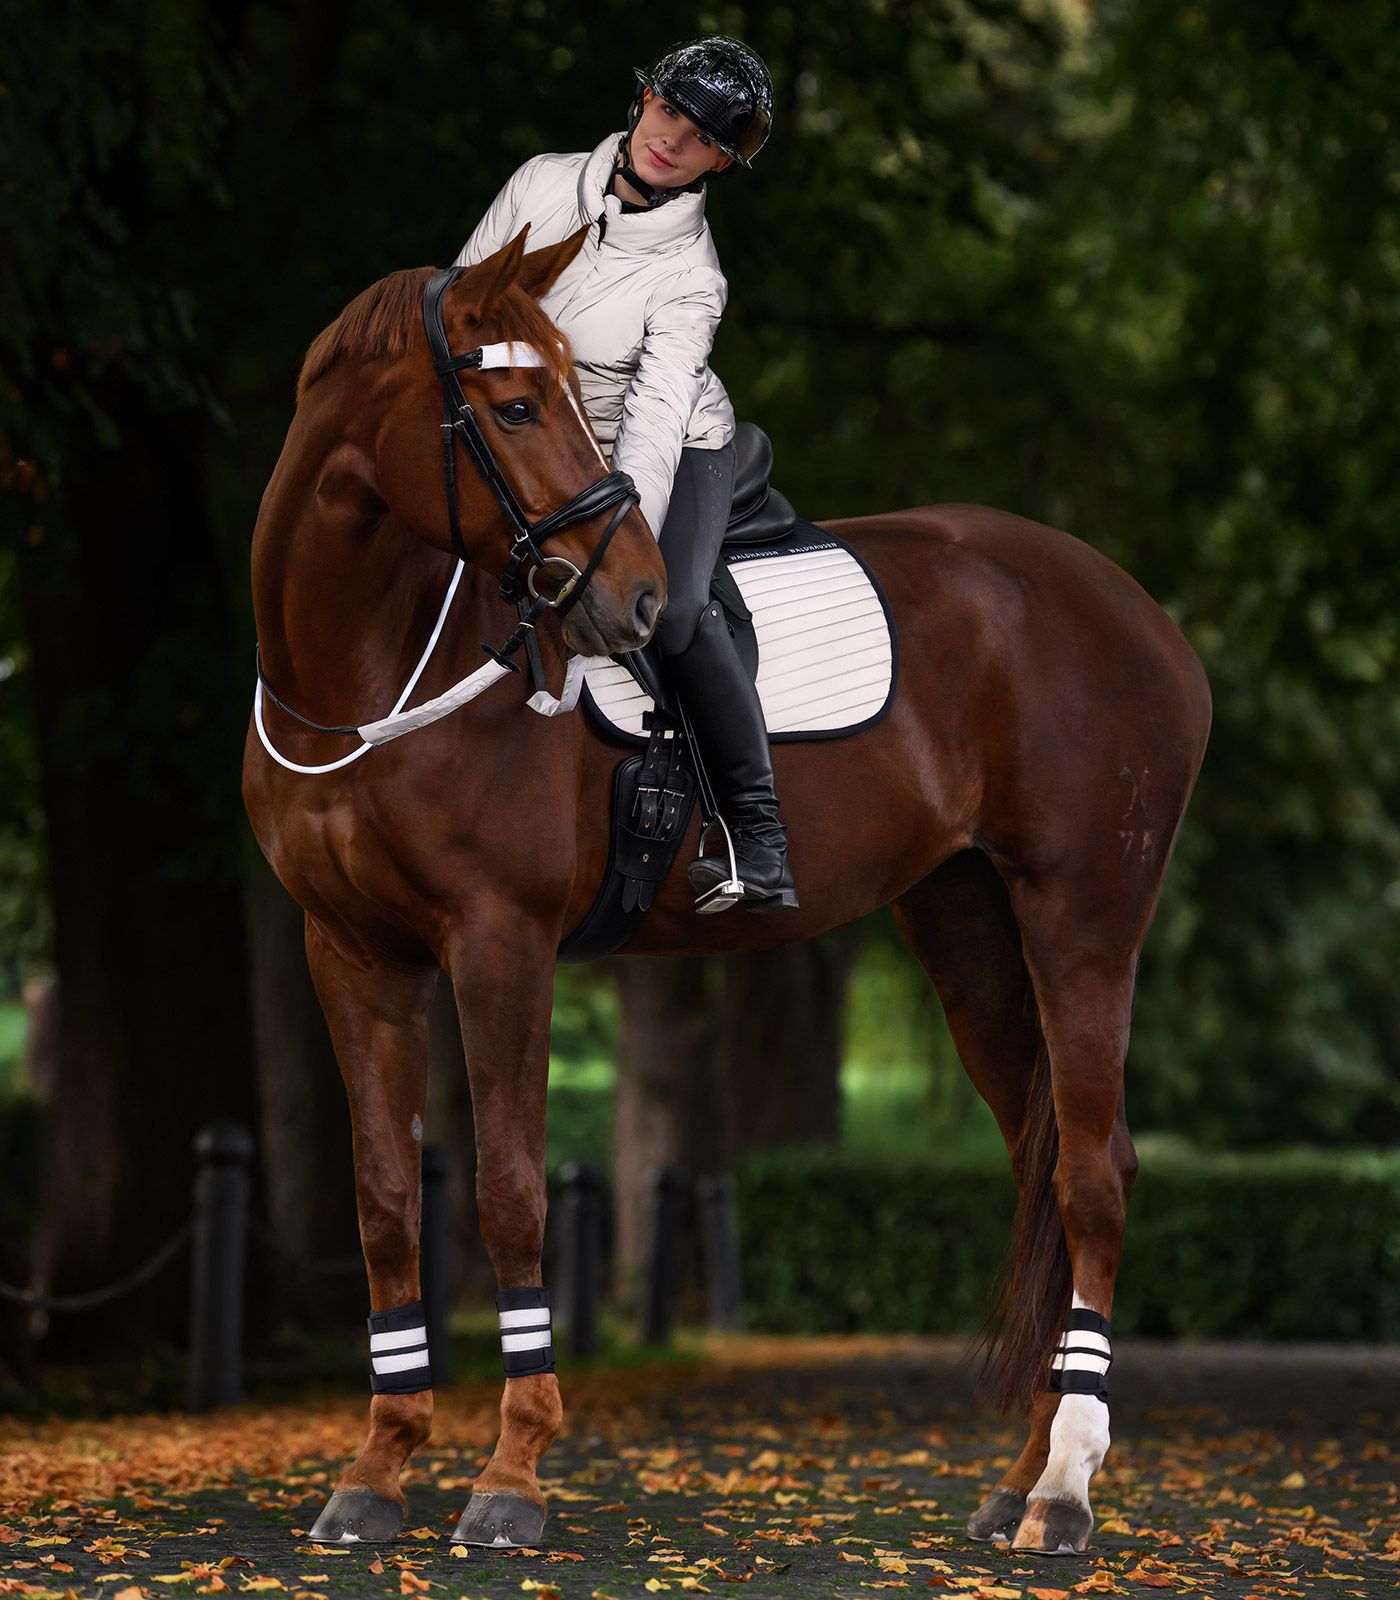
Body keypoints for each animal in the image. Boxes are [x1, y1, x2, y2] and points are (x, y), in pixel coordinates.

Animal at [242, 225, 1212, 1559]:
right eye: (513, 404)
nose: (635, 600)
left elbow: (507, 1190)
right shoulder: (349, 952)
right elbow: (388, 1199)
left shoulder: (498, 943)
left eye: (555, 396)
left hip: (1081, 923)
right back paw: (1018, 1476)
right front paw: (376, 1470)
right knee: (1046, 1165)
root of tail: (1145, 624)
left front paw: (510, 1472)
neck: (371, 669)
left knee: (1092, 1175)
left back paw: (1064, 1486)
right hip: (967, 928)